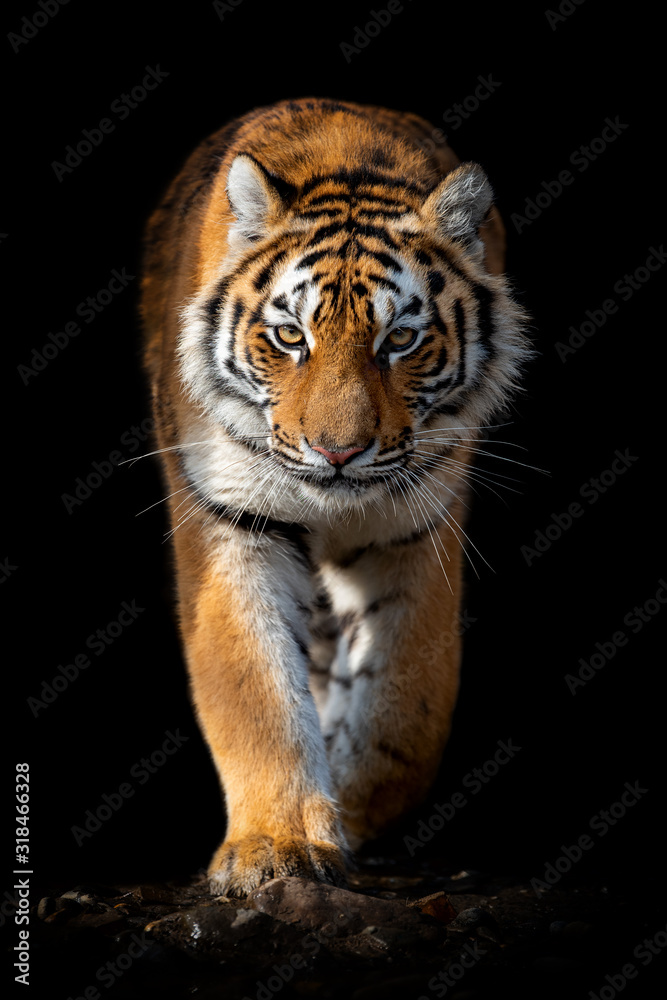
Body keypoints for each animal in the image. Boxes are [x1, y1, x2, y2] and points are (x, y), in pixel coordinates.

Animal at [140, 97, 532, 896]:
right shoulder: (233, 522)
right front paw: (279, 847)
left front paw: (352, 814)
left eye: (401, 339)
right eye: (290, 336)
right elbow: (255, 692)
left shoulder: (418, 524)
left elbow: (408, 705)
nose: (338, 452)